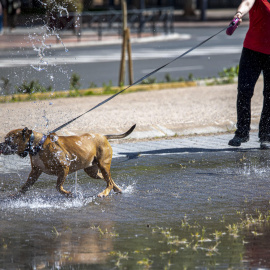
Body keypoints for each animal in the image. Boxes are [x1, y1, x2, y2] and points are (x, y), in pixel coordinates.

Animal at [0, 125, 135, 198]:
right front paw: (16, 196)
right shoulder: (35, 172)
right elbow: (25, 187)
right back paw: (117, 189)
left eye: (9, 140)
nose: (0, 145)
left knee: (109, 182)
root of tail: (103, 136)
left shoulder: (64, 168)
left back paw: (104, 193)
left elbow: (58, 186)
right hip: (93, 171)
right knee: (109, 180)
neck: (38, 145)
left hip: (103, 164)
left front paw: (69, 194)